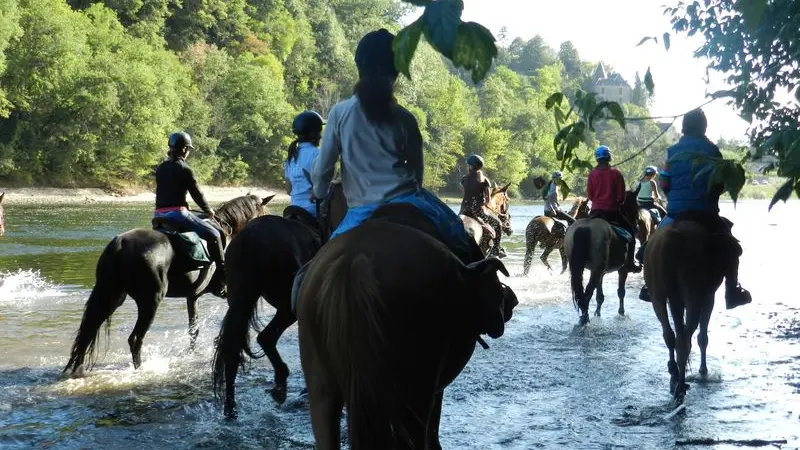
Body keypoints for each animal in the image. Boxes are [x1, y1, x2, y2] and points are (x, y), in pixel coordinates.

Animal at [60, 193, 272, 376]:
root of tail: (121, 244)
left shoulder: (192, 296)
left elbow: (193, 330)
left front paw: (192, 354)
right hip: (150, 301)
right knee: (135, 339)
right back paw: (140, 370)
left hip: (112, 297)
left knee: (88, 332)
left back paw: (78, 369)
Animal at [212, 182, 346, 418]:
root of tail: (249, 239)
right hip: (287, 307)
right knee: (265, 338)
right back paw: (280, 383)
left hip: (245, 304)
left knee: (233, 348)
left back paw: (231, 406)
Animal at [564, 192, 640, 326]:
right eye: (636, 207)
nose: (637, 227)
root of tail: (585, 228)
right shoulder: (623, 270)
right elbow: (621, 292)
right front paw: (621, 313)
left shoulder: (602, 272)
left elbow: (599, 296)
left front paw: (597, 314)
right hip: (597, 269)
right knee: (588, 291)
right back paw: (584, 319)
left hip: (584, 268)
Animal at [644, 220, 732, 406]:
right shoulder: (708, 297)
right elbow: (703, 337)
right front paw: (703, 370)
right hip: (693, 298)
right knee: (685, 339)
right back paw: (681, 387)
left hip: (658, 297)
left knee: (670, 335)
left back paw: (675, 375)